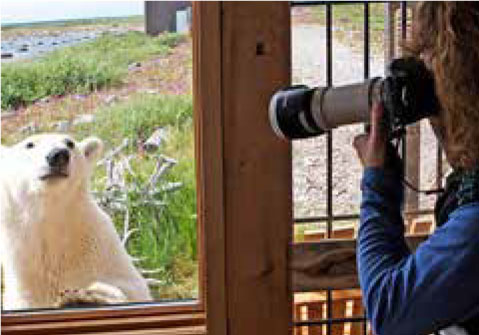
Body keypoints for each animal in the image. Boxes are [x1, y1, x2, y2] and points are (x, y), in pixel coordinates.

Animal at [0, 133, 152, 310]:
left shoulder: (102, 249)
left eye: (70, 143)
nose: (58, 155)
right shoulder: (23, 262)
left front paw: (85, 296)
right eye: (29, 144)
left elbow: (131, 289)